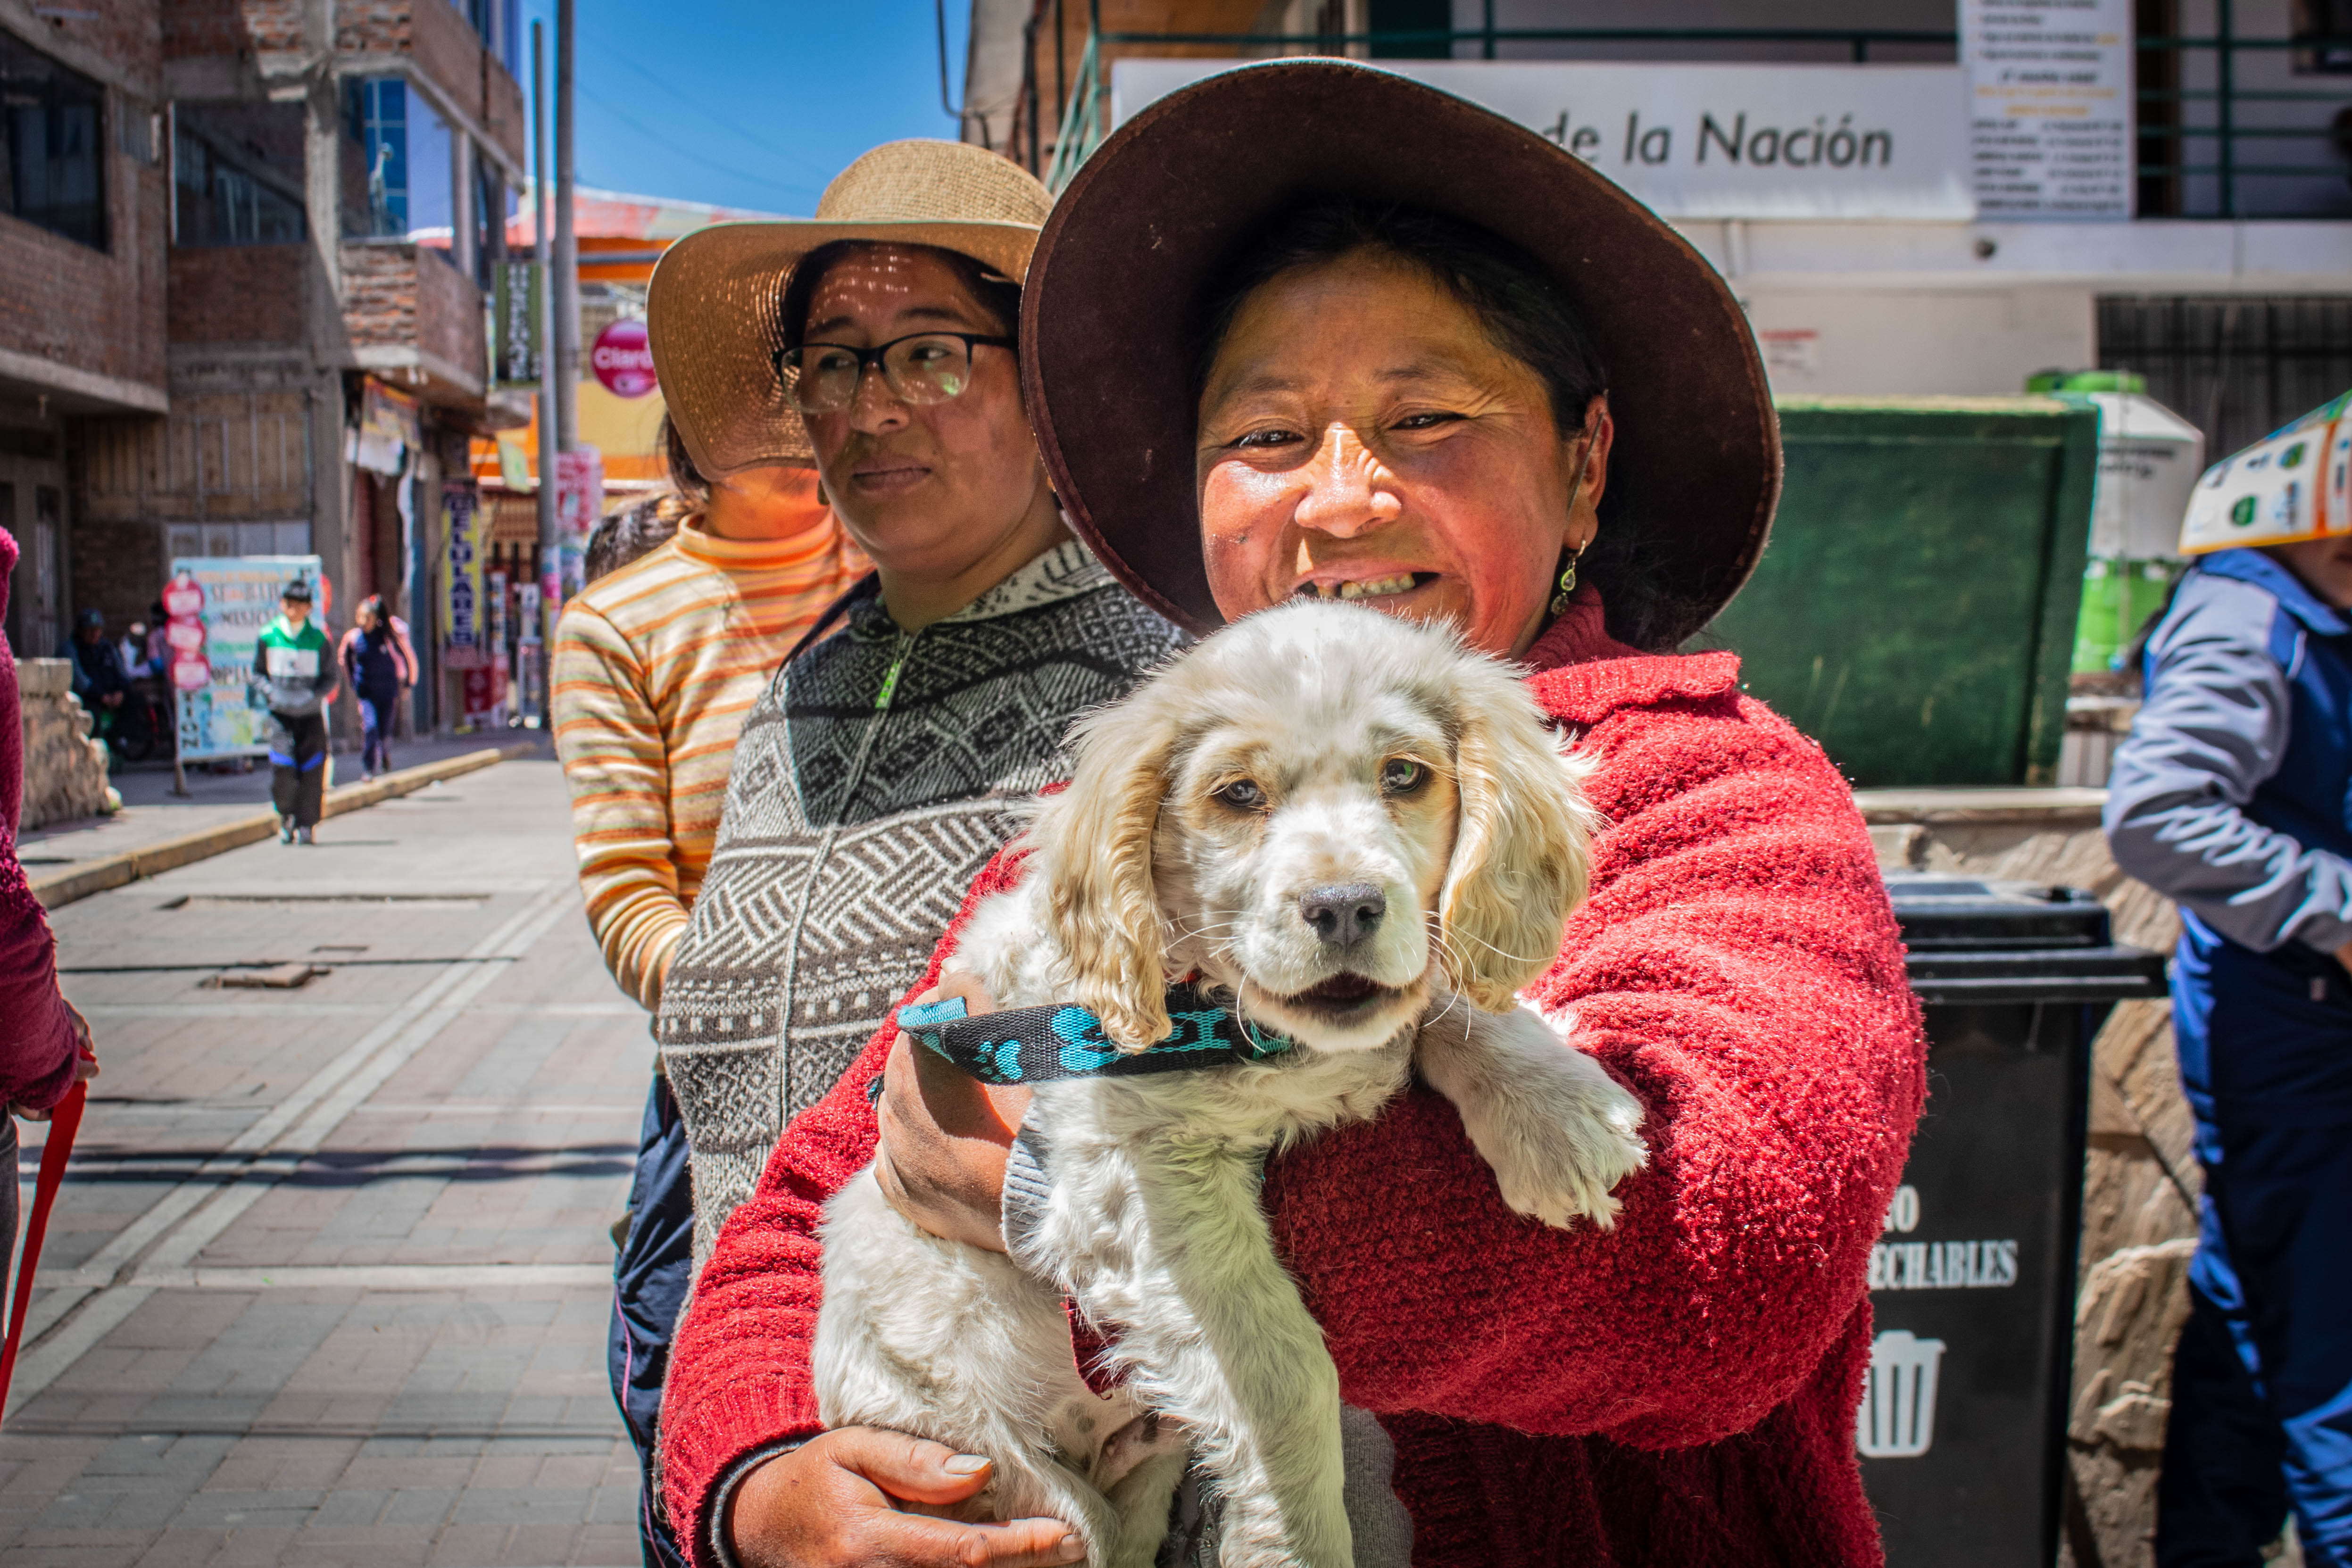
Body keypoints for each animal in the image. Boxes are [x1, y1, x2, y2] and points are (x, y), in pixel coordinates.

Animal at [818, 597, 1646, 1568]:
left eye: (1404, 775)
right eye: (1238, 794)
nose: (1344, 906)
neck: (1254, 1035)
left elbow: (1440, 1000)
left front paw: (1555, 1112)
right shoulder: (1131, 1179)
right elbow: (1280, 1376)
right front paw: (1293, 1543)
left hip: (1134, 1473)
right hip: (1007, 1487)